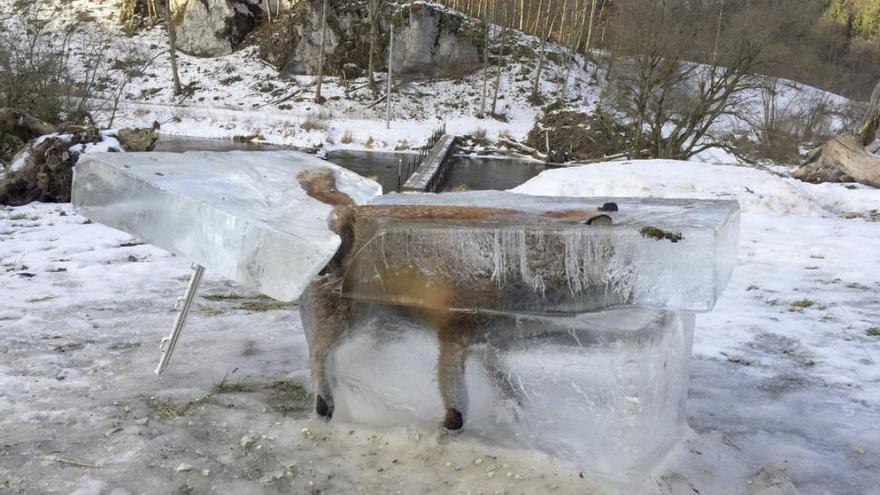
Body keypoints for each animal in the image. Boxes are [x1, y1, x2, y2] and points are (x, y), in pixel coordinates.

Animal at [296, 170, 612, 430]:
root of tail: (351, 211)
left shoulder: (488, 343)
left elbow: (506, 384)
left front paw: (513, 410)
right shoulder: (454, 336)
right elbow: (457, 402)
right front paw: (452, 425)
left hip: (379, 326)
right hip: (346, 321)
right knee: (319, 355)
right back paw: (325, 402)